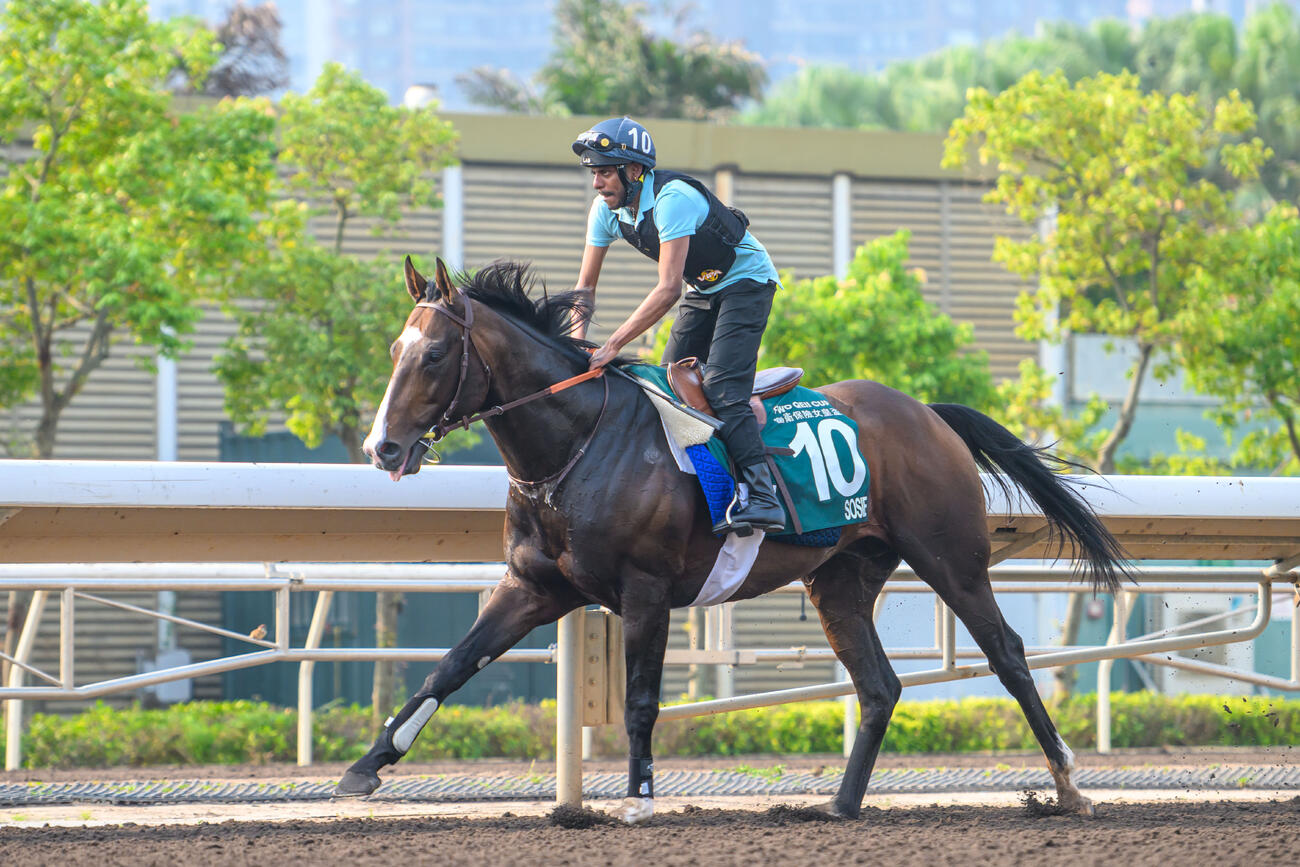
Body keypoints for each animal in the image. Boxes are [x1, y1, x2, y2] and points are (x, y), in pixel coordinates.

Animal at [335, 256, 1129, 823]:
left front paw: (638, 798)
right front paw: (365, 767)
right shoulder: (535, 586)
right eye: (395, 348)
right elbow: (449, 667)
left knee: (1009, 655)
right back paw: (839, 805)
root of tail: (928, 413)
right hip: (841, 577)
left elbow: (641, 700)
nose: (383, 447)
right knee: (880, 685)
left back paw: (1067, 787)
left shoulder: (645, 589)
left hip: (950, 558)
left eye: (435, 354)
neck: (577, 445)